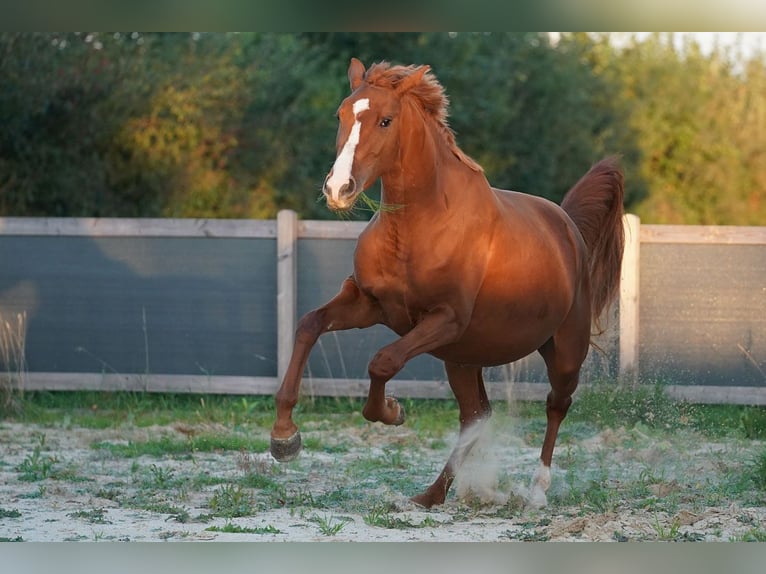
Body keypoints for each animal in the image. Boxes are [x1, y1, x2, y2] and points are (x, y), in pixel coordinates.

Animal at [270, 57, 624, 508]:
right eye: (341, 114)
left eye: (386, 120)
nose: (338, 188)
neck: (419, 227)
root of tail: (569, 228)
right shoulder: (368, 303)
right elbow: (308, 325)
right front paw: (284, 438)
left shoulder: (444, 320)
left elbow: (382, 361)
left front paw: (392, 411)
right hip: (463, 357)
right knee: (476, 415)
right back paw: (433, 494)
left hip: (562, 352)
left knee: (556, 406)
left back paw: (535, 490)